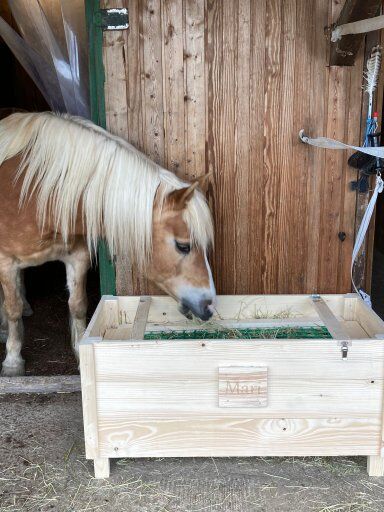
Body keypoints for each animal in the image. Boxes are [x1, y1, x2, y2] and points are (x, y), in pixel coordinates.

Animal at [0, 112, 216, 376]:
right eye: (183, 246)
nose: (209, 306)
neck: (31, 195)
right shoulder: (6, 262)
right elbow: (12, 309)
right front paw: (12, 361)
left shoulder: (77, 257)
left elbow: (78, 305)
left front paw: (80, 353)